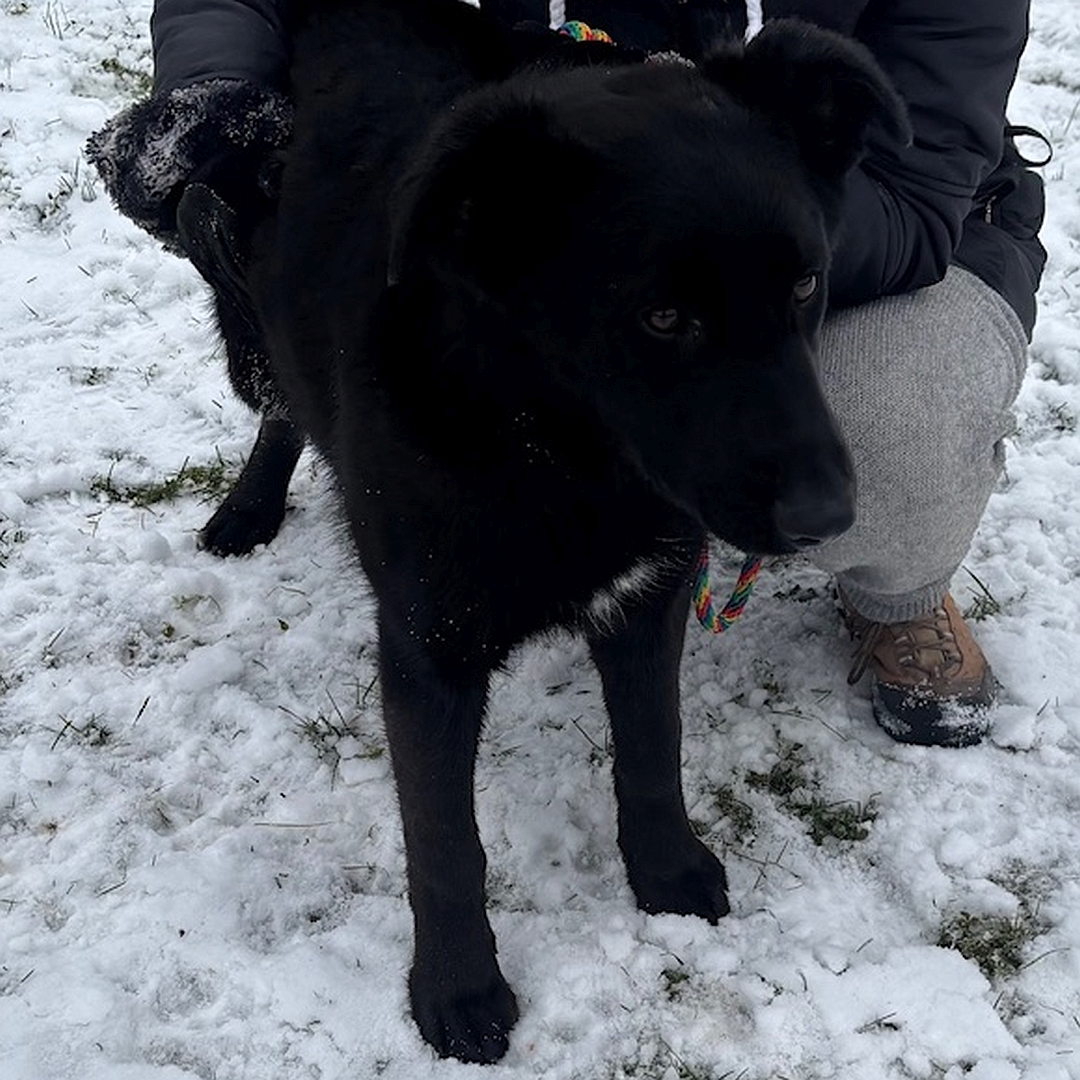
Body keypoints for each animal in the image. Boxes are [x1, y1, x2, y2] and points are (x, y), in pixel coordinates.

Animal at [179, 0, 902, 1062]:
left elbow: (653, 747)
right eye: (663, 316)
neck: (554, 441)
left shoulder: (650, 595)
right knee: (279, 406)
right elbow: (445, 841)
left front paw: (667, 872)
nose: (827, 519)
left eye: (807, 287)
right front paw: (457, 989)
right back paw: (249, 507)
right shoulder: (427, 650)